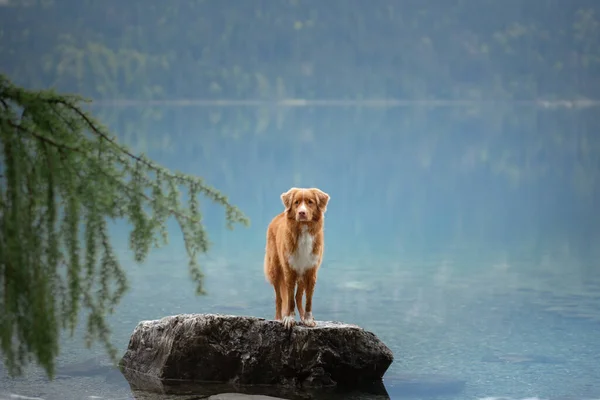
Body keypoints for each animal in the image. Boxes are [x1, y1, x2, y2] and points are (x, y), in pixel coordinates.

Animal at [262, 187, 330, 328]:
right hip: (275, 269)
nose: (301, 213)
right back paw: (278, 318)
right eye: (296, 203)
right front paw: (289, 318)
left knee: (298, 297)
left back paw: (303, 316)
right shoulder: (289, 271)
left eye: (310, 202)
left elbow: (308, 299)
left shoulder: (310, 272)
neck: (303, 231)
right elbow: (289, 299)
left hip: (302, 274)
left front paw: (308, 318)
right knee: (279, 298)